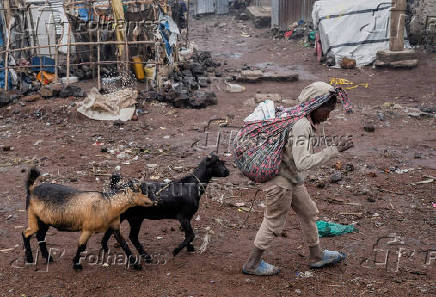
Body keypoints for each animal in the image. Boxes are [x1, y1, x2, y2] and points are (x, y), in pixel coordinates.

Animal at [22, 168, 155, 270]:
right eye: (141, 191)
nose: (153, 202)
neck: (109, 204)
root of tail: (32, 190)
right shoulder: (87, 229)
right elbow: (81, 245)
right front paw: (76, 265)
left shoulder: (115, 227)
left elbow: (124, 244)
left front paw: (136, 265)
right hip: (32, 216)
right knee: (26, 233)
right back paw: (30, 259)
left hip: (44, 221)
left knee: (40, 236)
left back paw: (48, 258)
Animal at [101, 154, 230, 258]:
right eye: (217, 162)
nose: (227, 172)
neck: (193, 186)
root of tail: (116, 188)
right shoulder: (183, 216)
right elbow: (191, 235)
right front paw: (176, 251)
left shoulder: (188, 217)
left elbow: (188, 235)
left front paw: (190, 248)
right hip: (134, 217)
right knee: (129, 236)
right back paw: (142, 258)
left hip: (126, 216)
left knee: (113, 230)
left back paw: (105, 247)